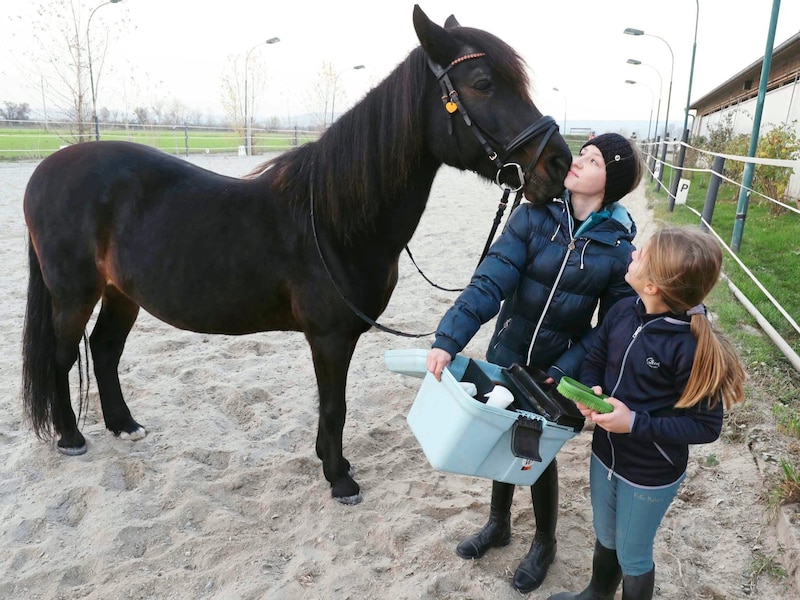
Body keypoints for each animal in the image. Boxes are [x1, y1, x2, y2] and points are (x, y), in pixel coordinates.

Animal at [21, 7, 572, 504]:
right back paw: (71, 437)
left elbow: (332, 407)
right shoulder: (329, 337)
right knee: (64, 356)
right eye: (483, 83)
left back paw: (124, 425)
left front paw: (332, 462)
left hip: (121, 293)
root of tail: (46, 169)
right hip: (73, 294)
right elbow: (334, 406)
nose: (560, 162)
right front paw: (340, 479)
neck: (332, 219)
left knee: (104, 349)